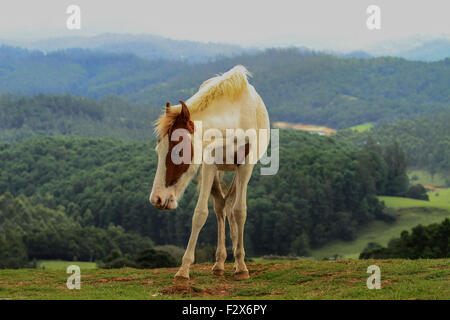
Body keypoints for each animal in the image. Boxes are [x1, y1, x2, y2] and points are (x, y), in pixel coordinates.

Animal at [149, 65, 268, 282]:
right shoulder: (209, 164)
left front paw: (242, 267)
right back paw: (220, 263)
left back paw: (236, 261)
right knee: (221, 206)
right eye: (158, 150)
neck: (233, 120)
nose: (157, 199)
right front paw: (183, 270)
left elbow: (240, 211)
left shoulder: (246, 166)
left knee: (231, 206)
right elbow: (200, 213)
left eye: (179, 152)